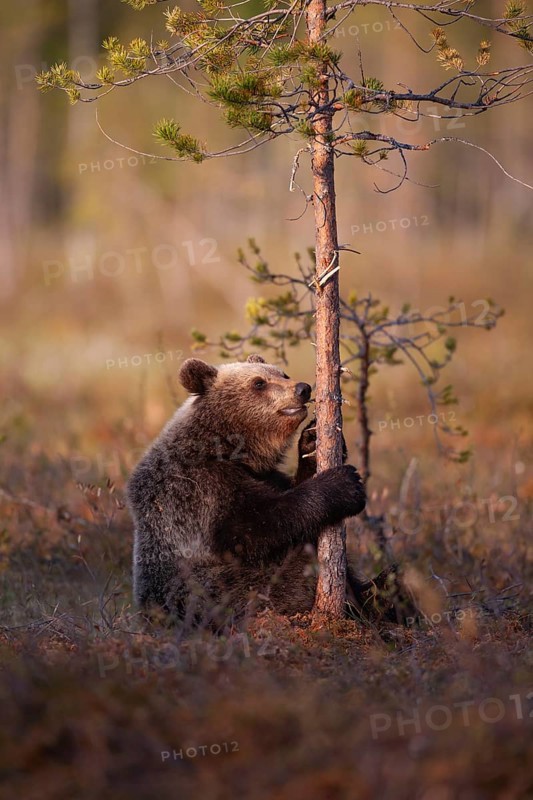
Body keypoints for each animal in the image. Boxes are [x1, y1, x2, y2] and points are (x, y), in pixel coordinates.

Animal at [127, 354, 374, 628]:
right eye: (259, 383)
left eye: (282, 373)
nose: (303, 389)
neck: (227, 448)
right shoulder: (199, 490)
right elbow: (253, 527)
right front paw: (343, 484)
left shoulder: (264, 475)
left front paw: (313, 440)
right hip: (211, 592)